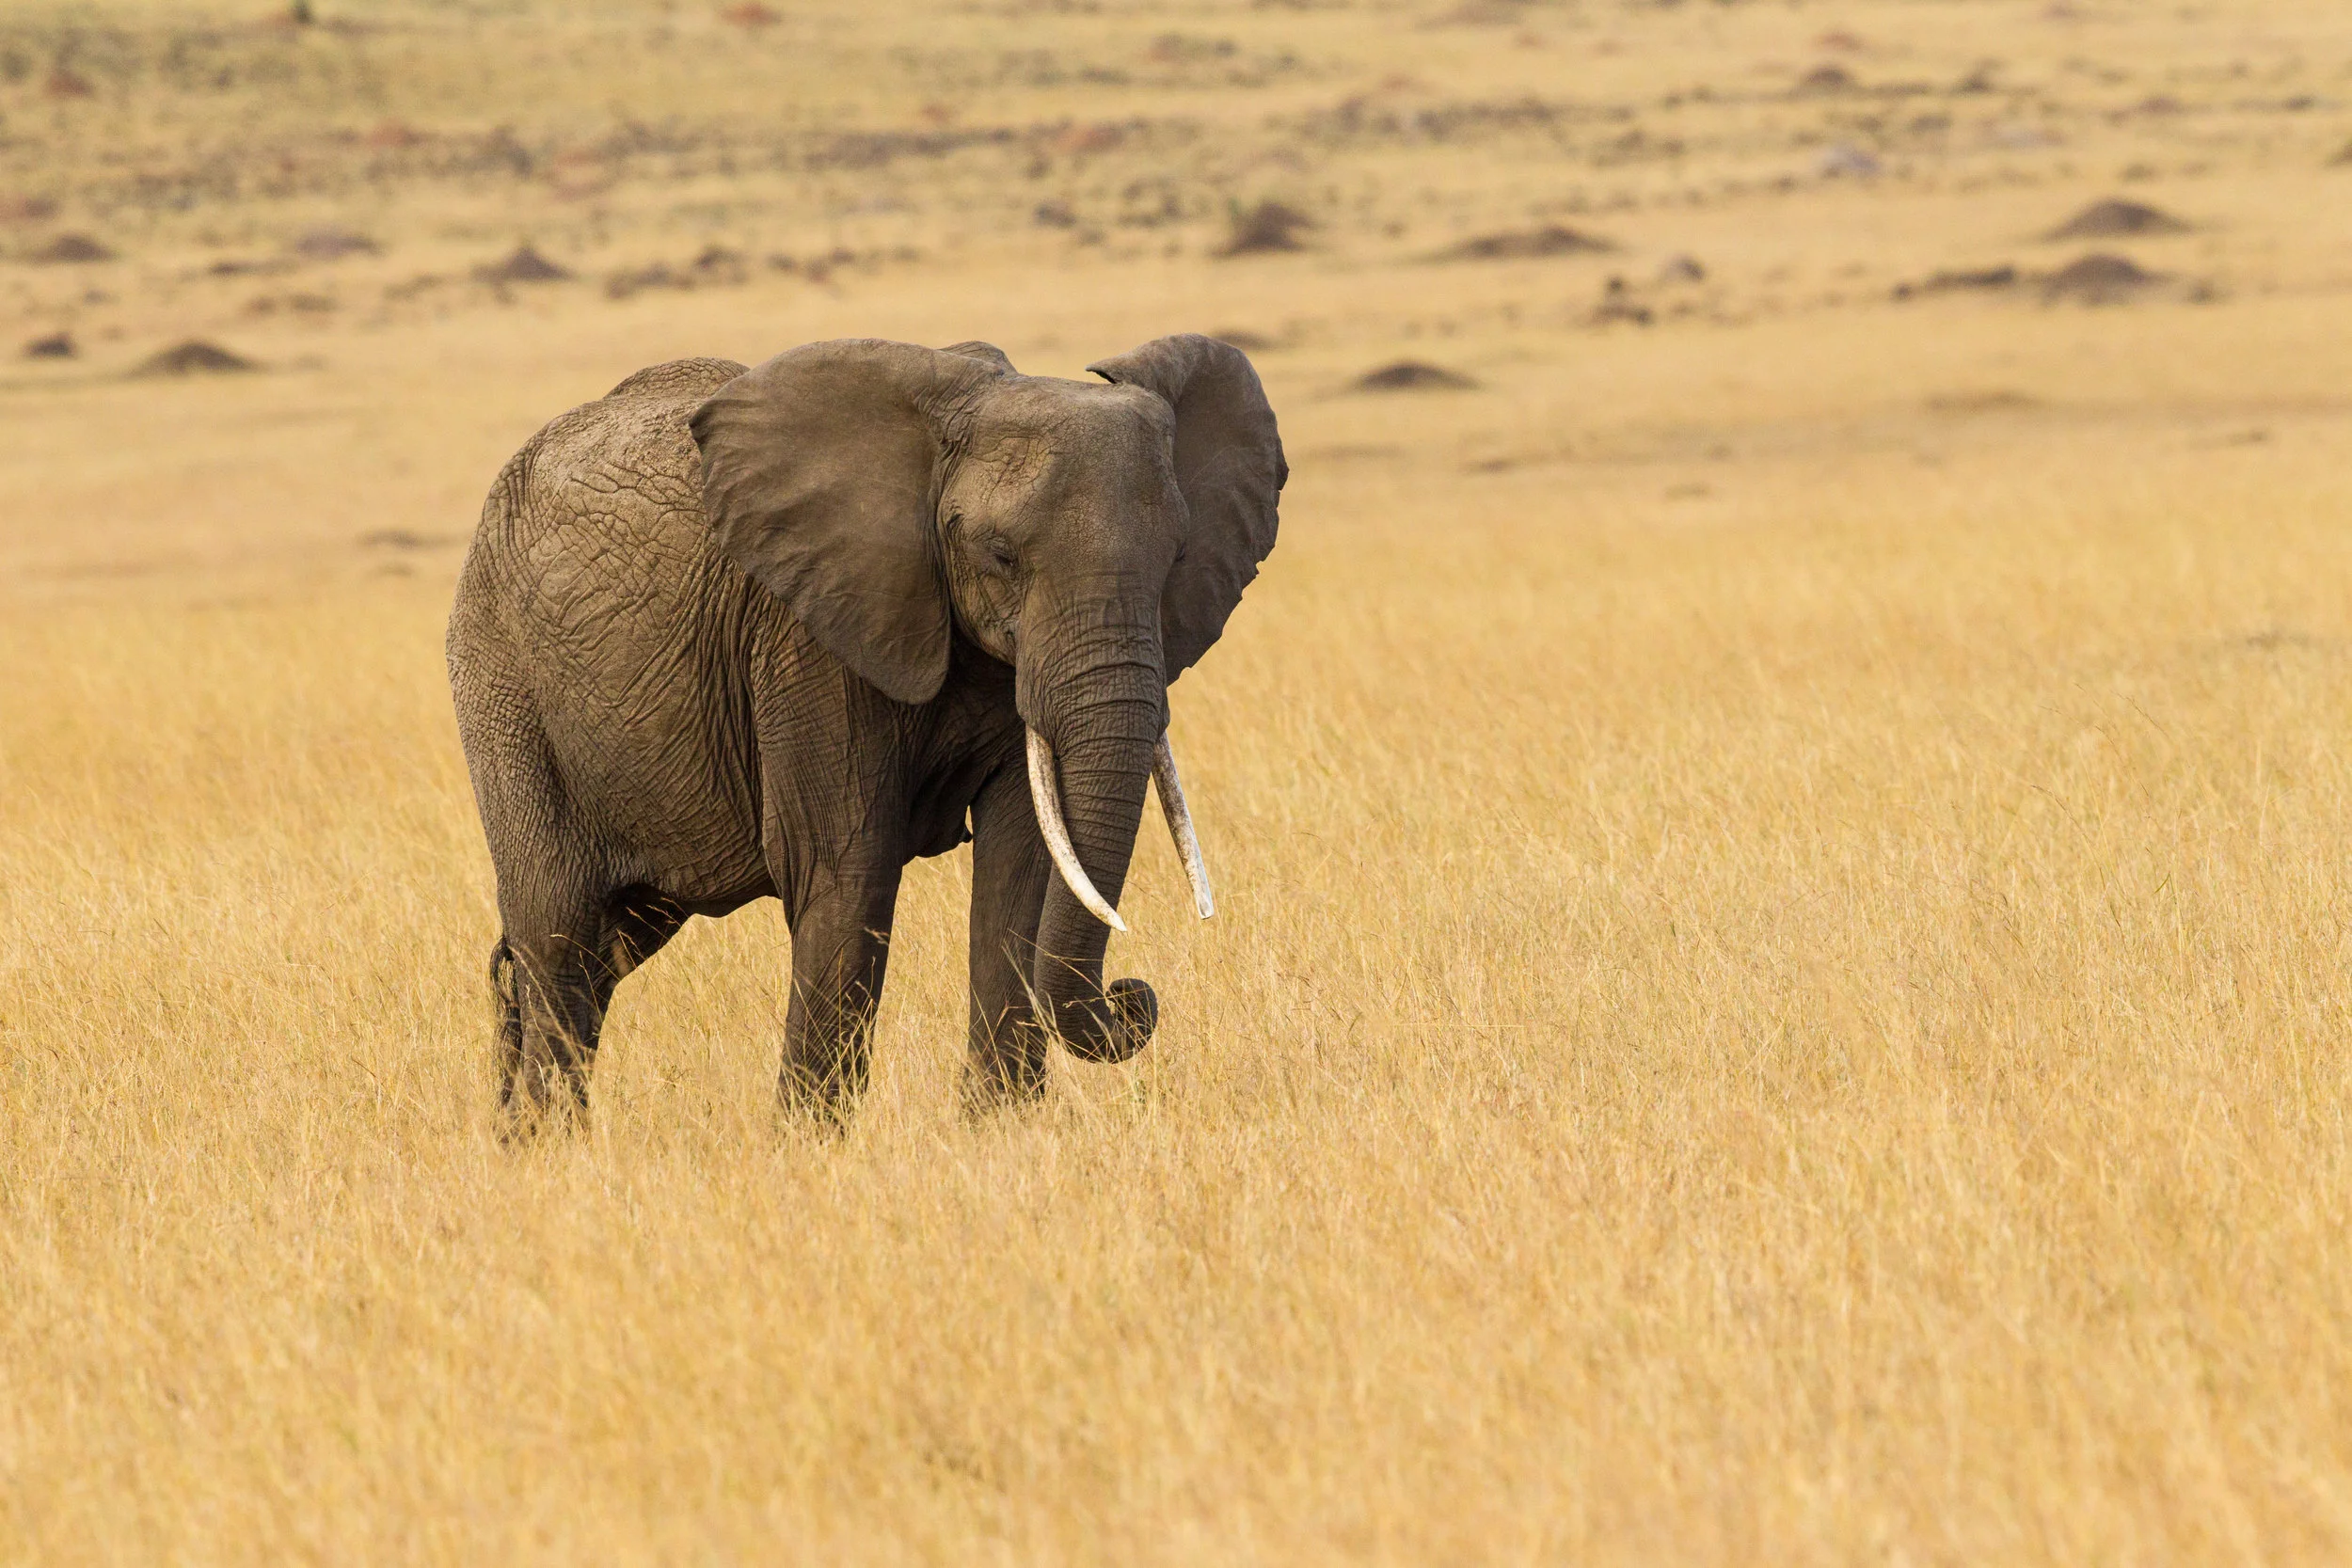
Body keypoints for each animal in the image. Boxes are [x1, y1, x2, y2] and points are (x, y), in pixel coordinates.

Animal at [445, 335, 1284, 1130]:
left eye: (1176, 558)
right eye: (1002, 556)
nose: (1131, 996)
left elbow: (1021, 867)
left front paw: (1002, 1133)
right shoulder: (806, 640)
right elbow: (846, 868)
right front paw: (811, 1148)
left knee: (601, 946)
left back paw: (513, 1133)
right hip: (502, 681)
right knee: (558, 932)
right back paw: (551, 1144)